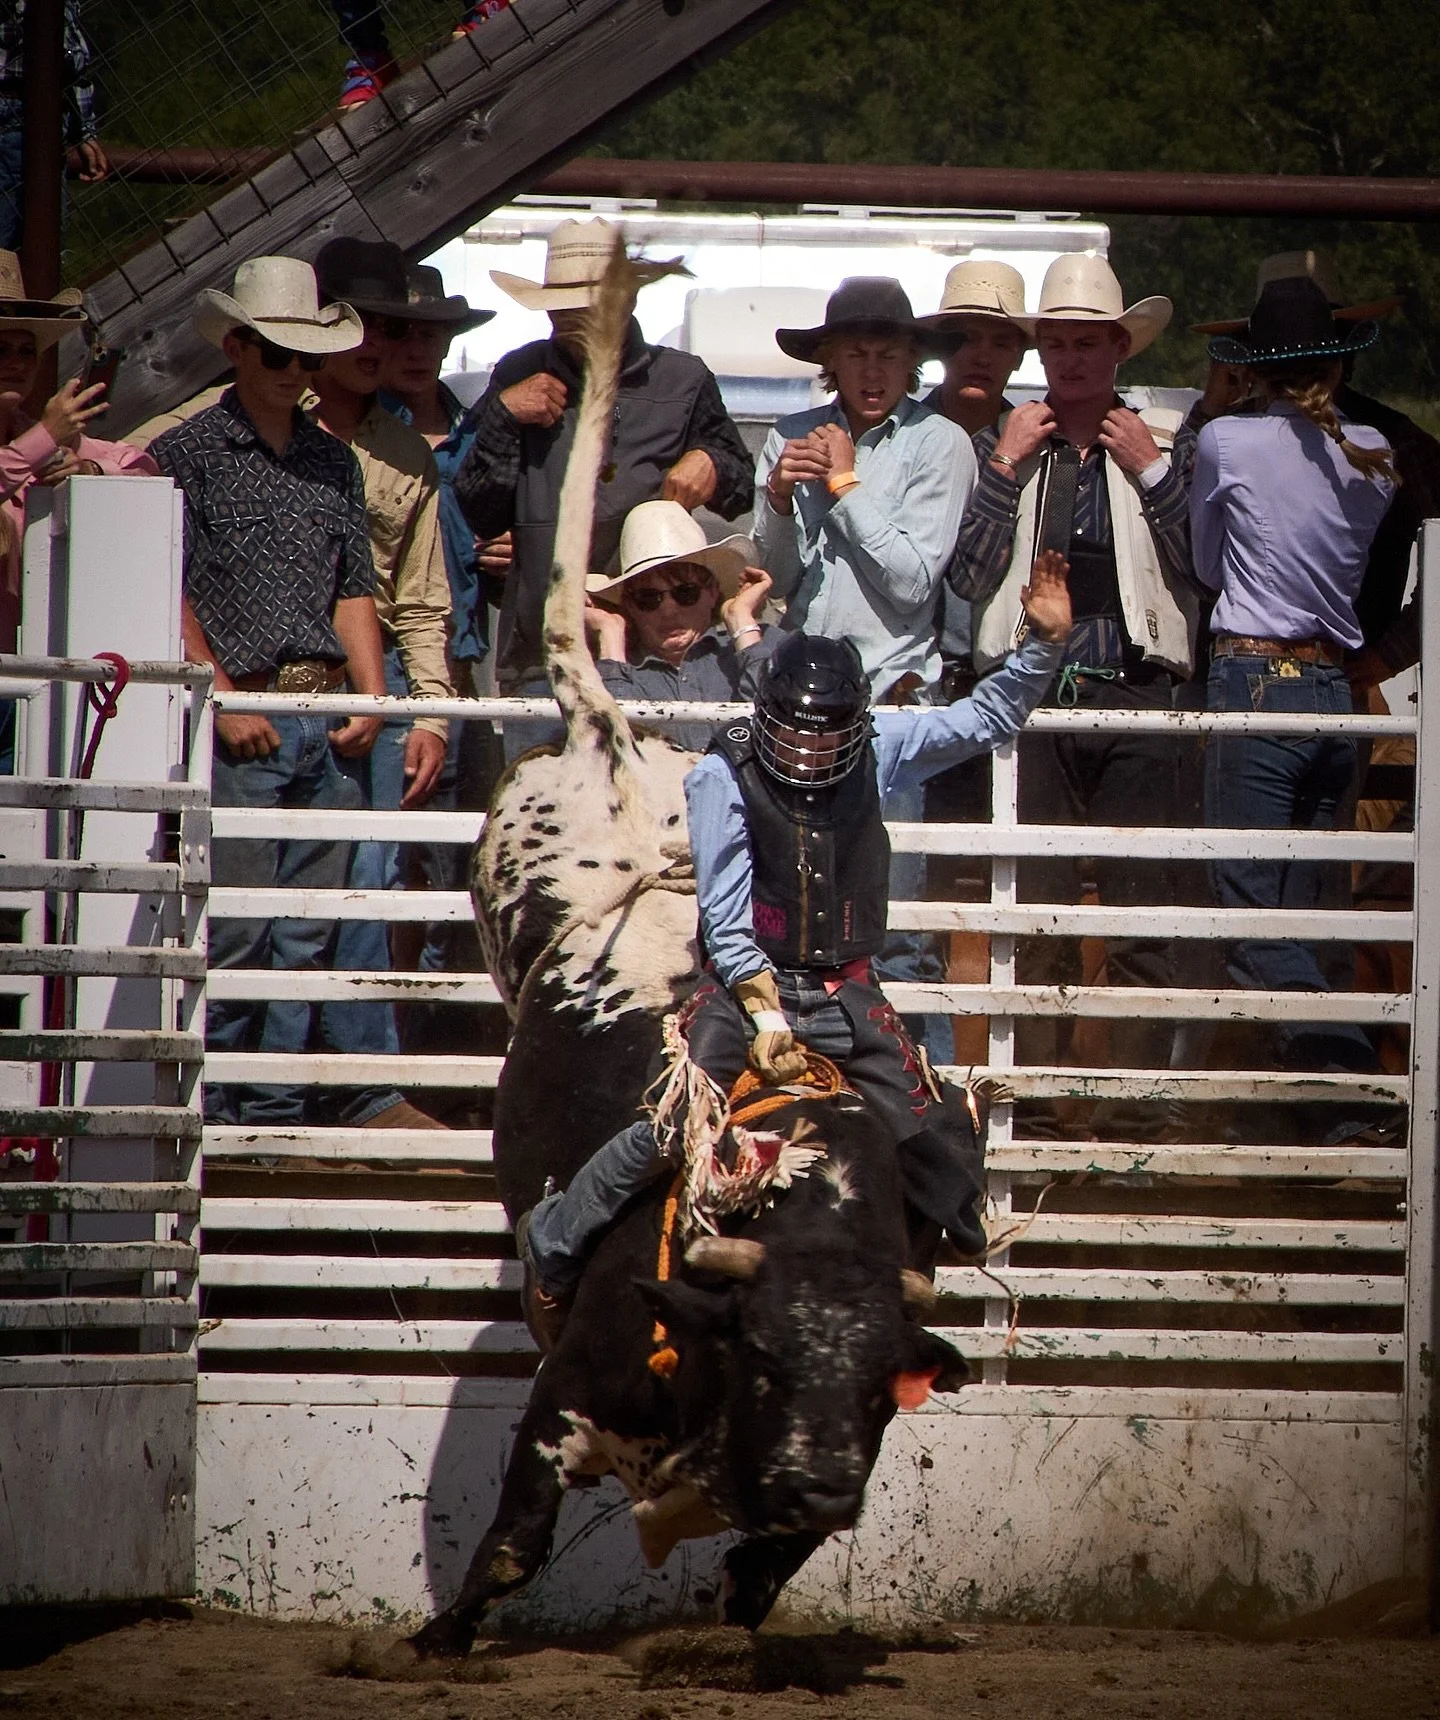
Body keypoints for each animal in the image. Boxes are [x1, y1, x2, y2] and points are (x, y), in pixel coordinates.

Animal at [406, 245, 972, 1661]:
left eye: (874, 1381)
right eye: (768, 1353)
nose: (822, 1479)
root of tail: (613, 741)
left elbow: (765, 1566)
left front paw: (751, 1597)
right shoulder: (566, 1396)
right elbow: (514, 1541)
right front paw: (436, 1640)